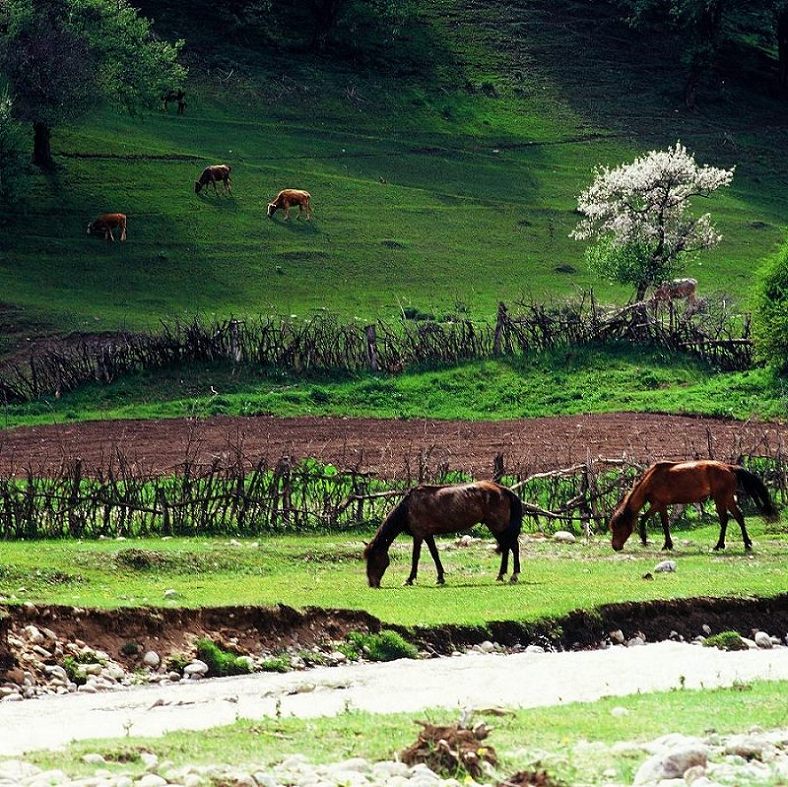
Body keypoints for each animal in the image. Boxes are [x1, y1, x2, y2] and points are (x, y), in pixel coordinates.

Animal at [364, 480, 524, 592]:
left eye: (374, 559)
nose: (372, 584)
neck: (409, 507)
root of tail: (504, 490)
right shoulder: (428, 535)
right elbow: (435, 555)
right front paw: (440, 578)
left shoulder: (419, 535)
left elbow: (415, 557)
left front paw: (409, 579)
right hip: (496, 527)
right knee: (507, 547)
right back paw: (501, 575)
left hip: (498, 526)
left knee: (513, 546)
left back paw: (513, 575)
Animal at [608, 458, 776, 552]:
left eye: (619, 528)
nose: (615, 547)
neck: (651, 480)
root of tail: (730, 468)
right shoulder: (660, 505)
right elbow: (661, 523)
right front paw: (666, 544)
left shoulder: (658, 504)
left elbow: (652, 521)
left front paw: (648, 541)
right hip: (727, 498)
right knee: (738, 516)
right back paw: (746, 544)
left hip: (720, 498)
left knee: (724, 519)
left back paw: (719, 545)